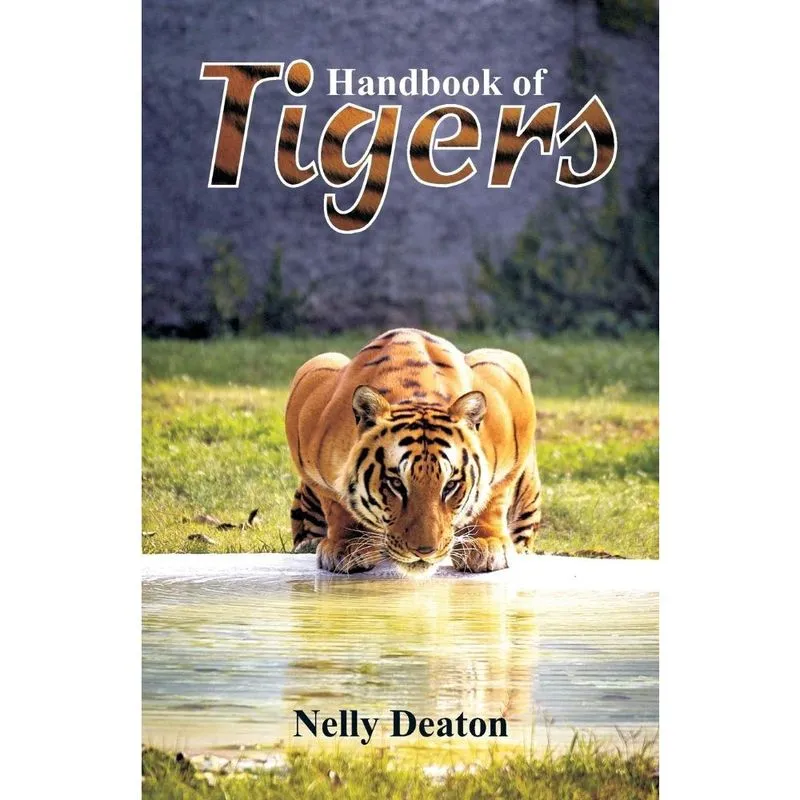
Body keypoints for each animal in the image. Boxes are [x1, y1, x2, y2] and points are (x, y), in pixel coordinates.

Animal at [284, 328, 542, 575]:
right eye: (396, 484)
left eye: (450, 485)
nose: (425, 551)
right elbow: (336, 503)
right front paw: (347, 546)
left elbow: (494, 496)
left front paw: (486, 544)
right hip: (324, 360)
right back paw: (309, 544)